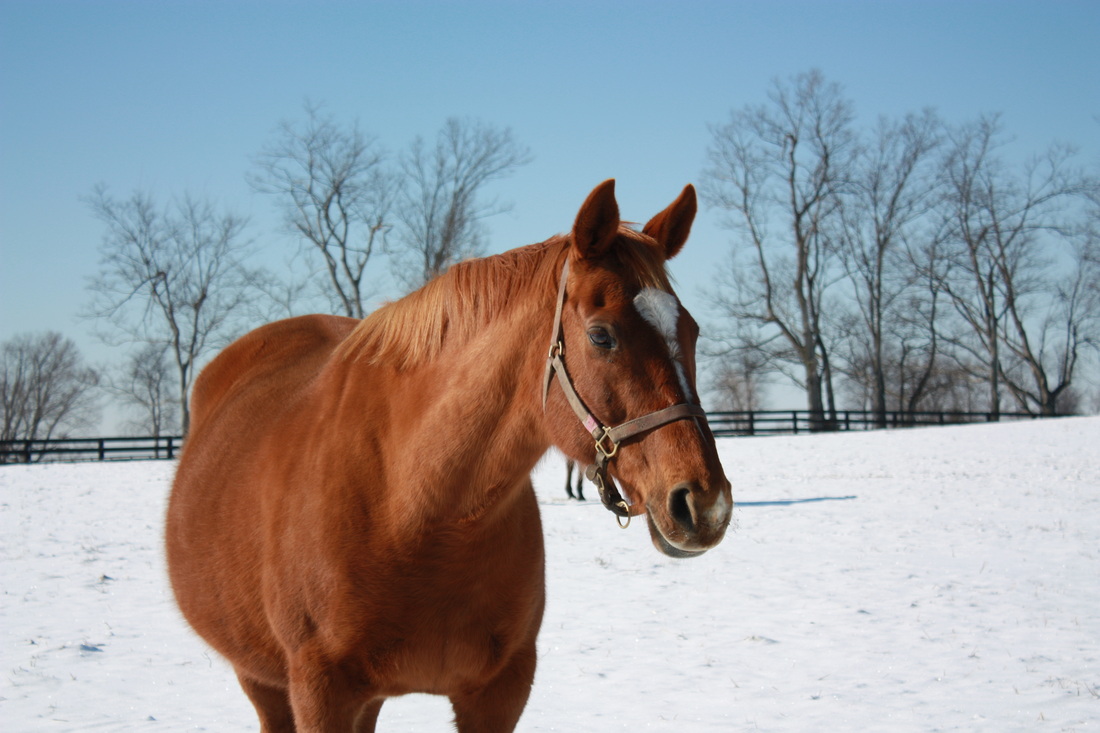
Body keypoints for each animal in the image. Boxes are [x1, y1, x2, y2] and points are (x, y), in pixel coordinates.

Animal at [165, 178, 730, 730]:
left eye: (692, 331)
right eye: (600, 335)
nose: (706, 505)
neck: (412, 510)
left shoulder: (499, 692)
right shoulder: (319, 693)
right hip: (262, 680)